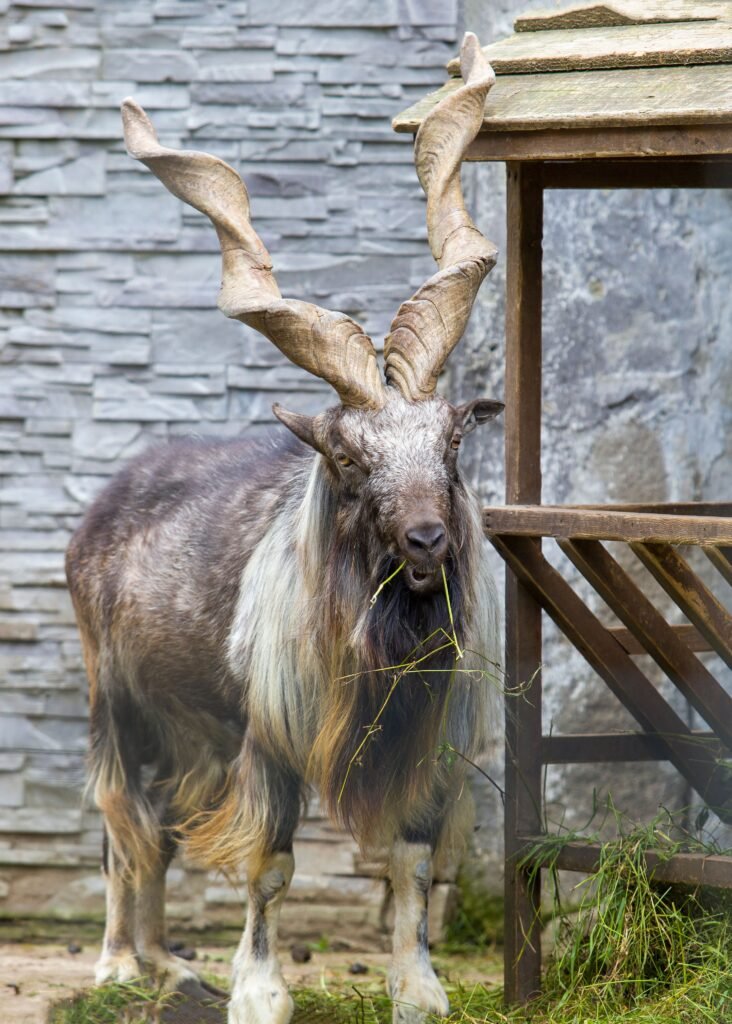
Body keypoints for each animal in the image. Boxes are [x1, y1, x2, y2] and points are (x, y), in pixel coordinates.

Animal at [66, 34, 502, 1024]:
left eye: (452, 439)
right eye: (345, 455)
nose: (428, 543)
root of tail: (111, 498)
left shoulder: (428, 743)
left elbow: (413, 865)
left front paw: (420, 989)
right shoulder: (267, 740)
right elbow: (270, 867)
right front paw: (259, 992)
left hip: (182, 723)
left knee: (159, 832)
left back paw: (169, 965)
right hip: (117, 700)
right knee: (121, 827)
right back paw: (115, 966)